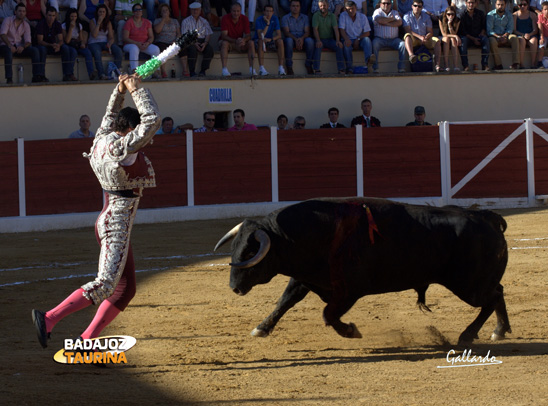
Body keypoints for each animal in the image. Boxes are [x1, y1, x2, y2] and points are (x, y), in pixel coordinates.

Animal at [213, 198, 510, 344]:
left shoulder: (349, 290)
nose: (234, 288)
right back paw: (500, 330)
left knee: (492, 297)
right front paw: (261, 328)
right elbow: (284, 301)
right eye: (235, 248)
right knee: (499, 291)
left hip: (468, 286)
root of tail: (488, 218)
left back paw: (468, 335)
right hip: (475, 283)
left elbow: (328, 314)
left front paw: (351, 331)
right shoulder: (305, 279)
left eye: (249, 253)